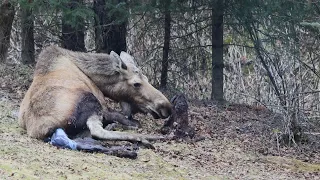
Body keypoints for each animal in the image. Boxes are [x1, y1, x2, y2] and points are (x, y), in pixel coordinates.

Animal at [18, 46, 171, 158]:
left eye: (146, 78)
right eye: (136, 83)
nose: (166, 107)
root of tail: (42, 129)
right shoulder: (102, 104)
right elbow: (125, 118)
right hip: (90, 101)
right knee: (97, 131)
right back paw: (147, 139)